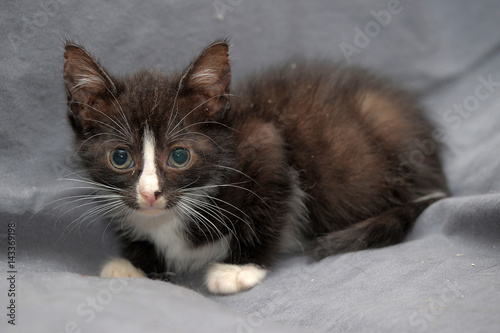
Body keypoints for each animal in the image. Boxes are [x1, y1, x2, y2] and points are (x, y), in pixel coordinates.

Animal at [63, 38, 450, 294]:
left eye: (179, 156)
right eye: (120, 157)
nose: (150, 194)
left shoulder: (266, 143)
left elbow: (269, 210)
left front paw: (239, 268)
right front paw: (134, 262)